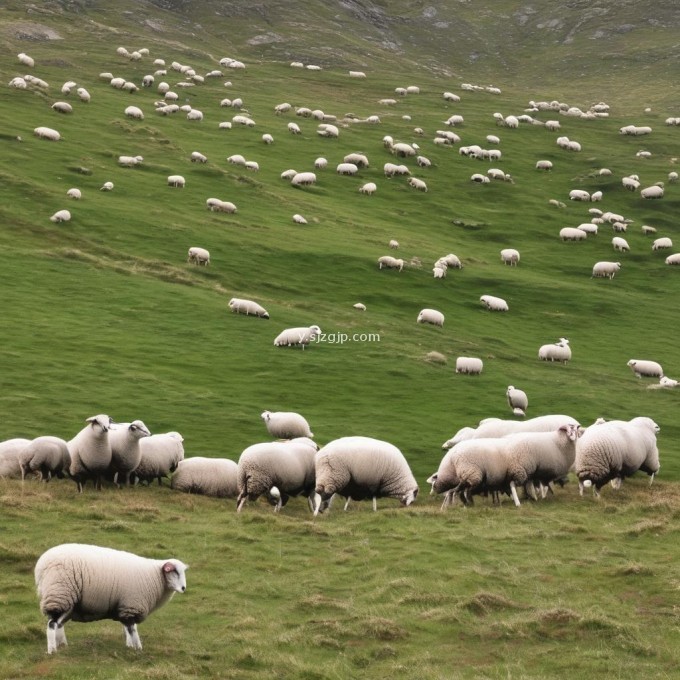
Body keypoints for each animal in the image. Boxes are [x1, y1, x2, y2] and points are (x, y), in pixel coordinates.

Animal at [35, 540, 187, 652]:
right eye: (174, 572)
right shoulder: (132, 604)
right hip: (59, 594)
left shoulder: (126, 605)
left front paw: (130, 646)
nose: (184, 588)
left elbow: (128, 628)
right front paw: (138, 648)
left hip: (67, 602)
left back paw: (62, 645)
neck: (155, 575)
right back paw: (52, 650)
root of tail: (40, 566)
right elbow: (132, 629)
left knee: (58, 624)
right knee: (51, 624)